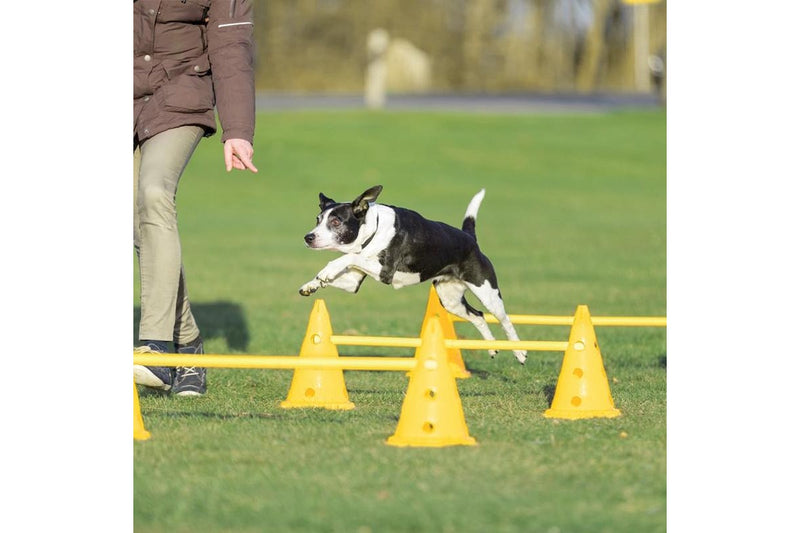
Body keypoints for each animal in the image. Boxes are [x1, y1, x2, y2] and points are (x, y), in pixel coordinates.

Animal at [296, 185, 528, 364]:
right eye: (318, 219)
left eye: (335, 222)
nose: (308, 237)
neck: (373, 229)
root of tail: (470, 238)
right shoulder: (353, 281)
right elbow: (344, 267)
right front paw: (312, 285)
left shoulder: (385, 271)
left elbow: (348, 257)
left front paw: (327, 270)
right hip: (450, 299)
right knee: (478, 315)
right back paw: (492, 347)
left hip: (487, 291)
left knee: (504, 319)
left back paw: (520, 352)